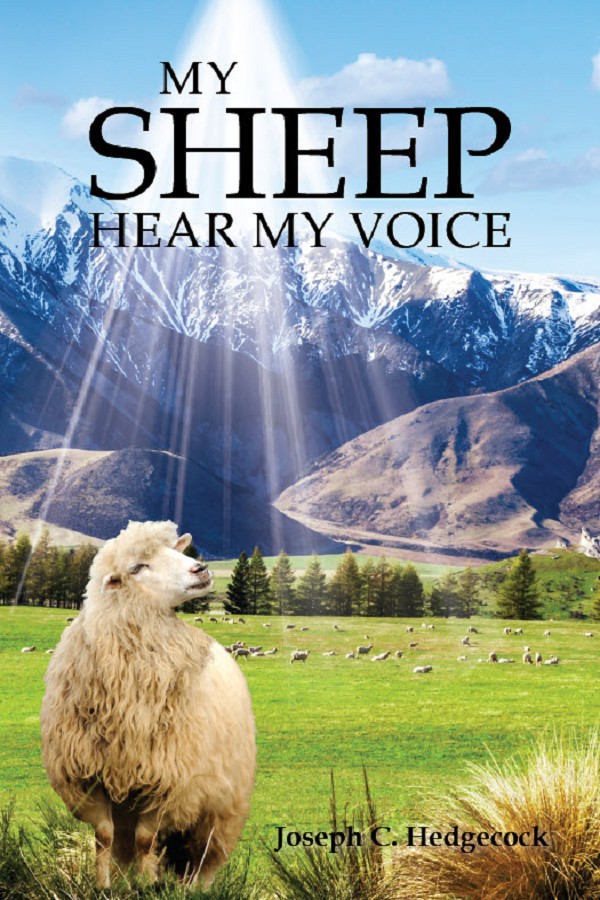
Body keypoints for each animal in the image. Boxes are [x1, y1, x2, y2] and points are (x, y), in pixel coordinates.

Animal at [41, 521, 255, 891]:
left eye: (174, 550)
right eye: (138, 567)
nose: (200, 569)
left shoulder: (168, 783)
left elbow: (146, 840)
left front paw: (145, 886)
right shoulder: (89, 779)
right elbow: (104, 837)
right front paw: (104, 886)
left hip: (220, 806)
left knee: (203, 855)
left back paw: (191, 889)